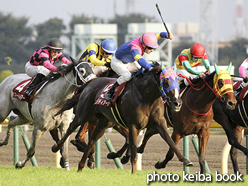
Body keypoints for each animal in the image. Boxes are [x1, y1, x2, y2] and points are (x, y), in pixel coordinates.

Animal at [51, 63, 193, 173]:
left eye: (179, 82)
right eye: (167, 82)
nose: (177, 103)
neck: (146, 96)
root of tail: (90, 83)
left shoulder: (159, 123)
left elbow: (170, 141)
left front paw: (186, 160)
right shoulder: (133, 125)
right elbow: (134, 149)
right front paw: (133, 172)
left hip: (103, 123)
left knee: (91, 141)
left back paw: (81, 167)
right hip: (83, 114)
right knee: (70, 128)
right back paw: (56, 148)